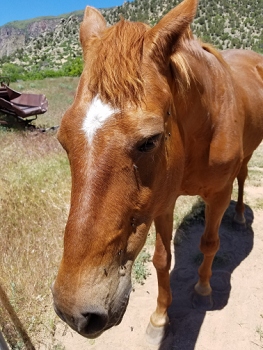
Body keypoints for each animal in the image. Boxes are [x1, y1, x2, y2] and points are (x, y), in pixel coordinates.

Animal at [51, 0, 263, 344]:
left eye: (149, 141)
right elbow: (162, 260)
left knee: (243, 178)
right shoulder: (163, 200)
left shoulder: (219, 194)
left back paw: (241, 216)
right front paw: (160, 317)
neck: (203, 125)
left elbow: (209, 243)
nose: (74, 311)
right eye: (63, 140)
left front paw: (203, 290)